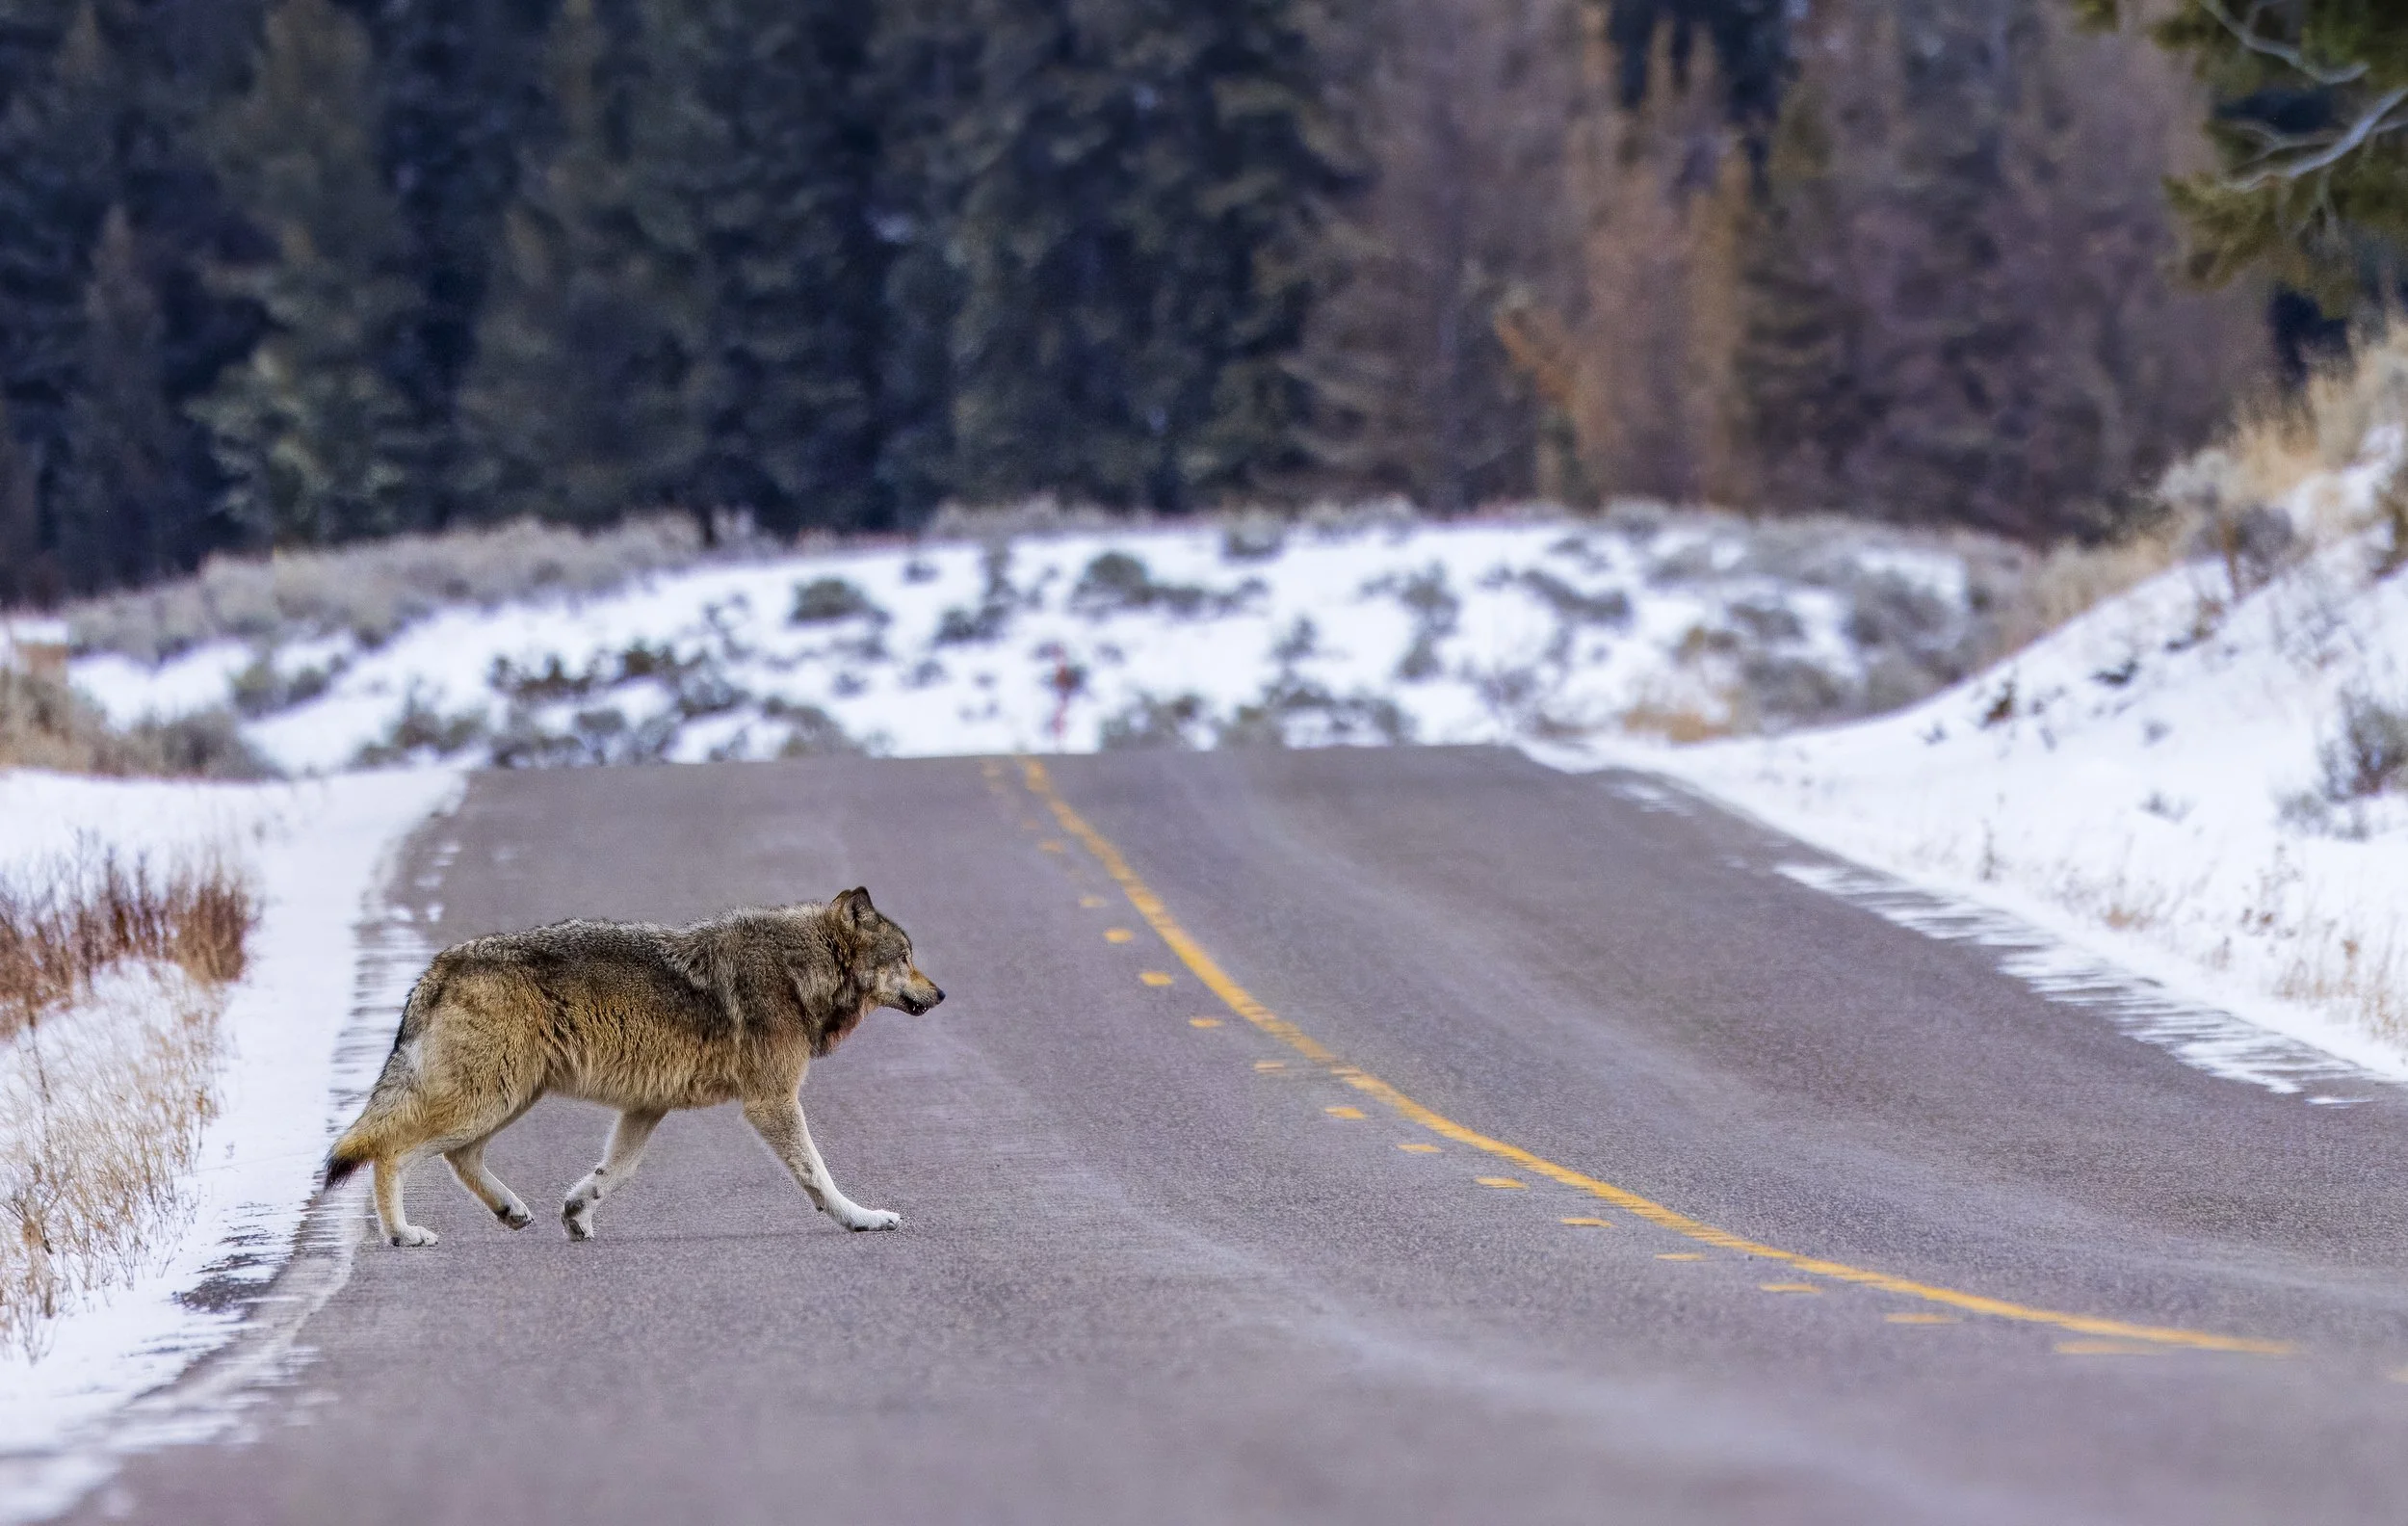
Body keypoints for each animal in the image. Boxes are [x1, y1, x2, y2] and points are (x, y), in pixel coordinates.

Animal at [325, 887, 943, 1247]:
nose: (940, 994)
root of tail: (440, 963)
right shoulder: (772, 1102)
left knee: (458, 1156)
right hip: (489, 1100)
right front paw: (861, 1219)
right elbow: (818, 1173)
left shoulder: (646, 1107)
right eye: (906, 957)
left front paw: (577, 1214)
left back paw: (511, 1211)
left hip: (507, 1100)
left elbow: (613, 1173)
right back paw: (403, 1235)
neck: (797, 970)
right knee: (389, 1153)